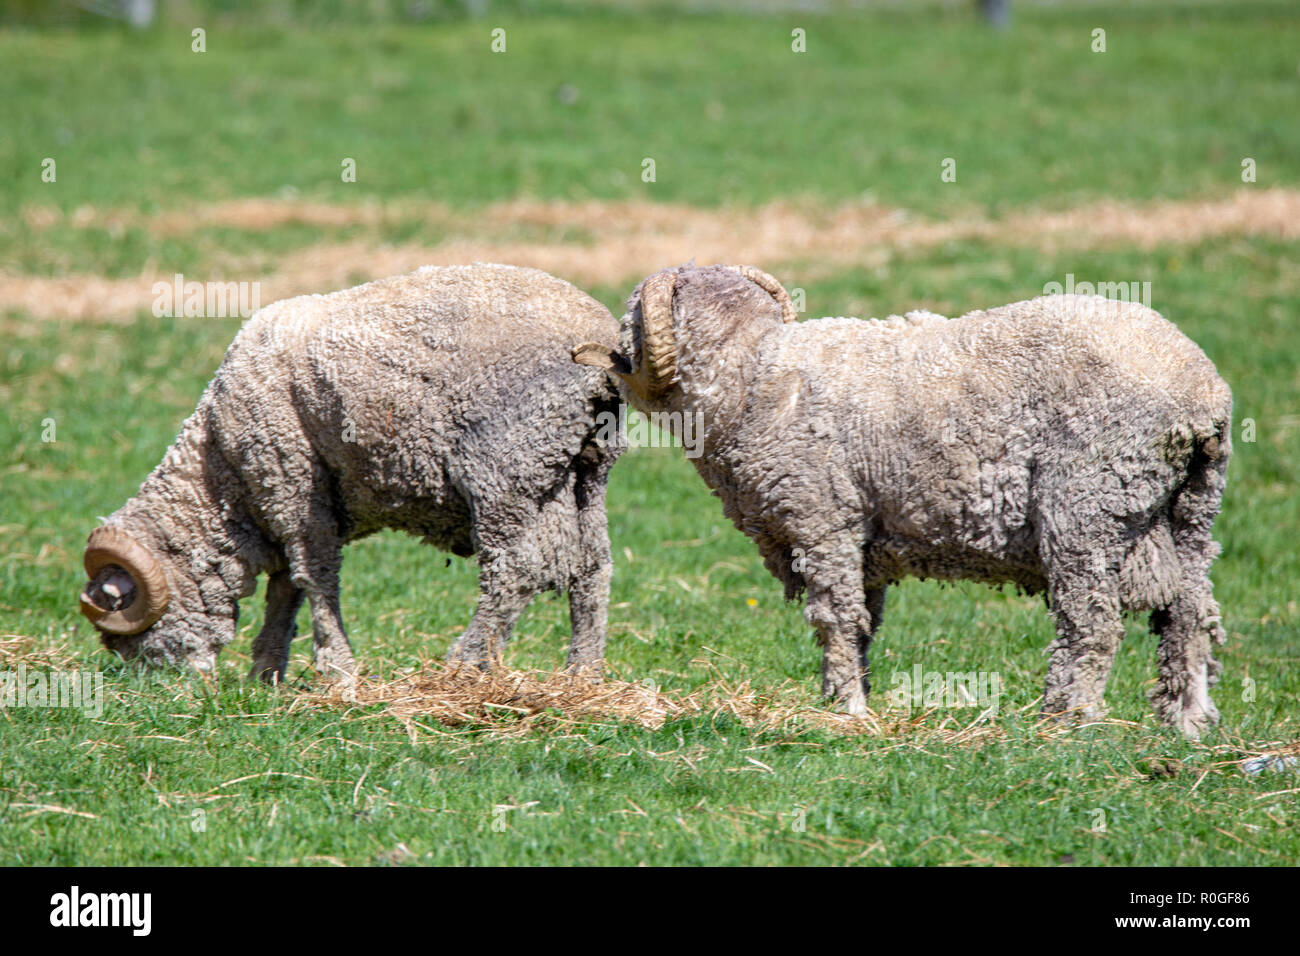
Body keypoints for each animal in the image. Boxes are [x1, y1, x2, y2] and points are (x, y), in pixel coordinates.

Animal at [79, 263, 626, 688]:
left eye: (123, 638)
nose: (168, 692)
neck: (220, 476)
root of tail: (600, 344)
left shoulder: (292, 484)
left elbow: (313, 577)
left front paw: (337, 672)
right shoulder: (288, 499)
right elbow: (286, 588)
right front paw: (265, 674)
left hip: (506, 469)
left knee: (516, 570)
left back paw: (460, 666)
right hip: (582, 470)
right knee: (592, 569)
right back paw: (583, 677)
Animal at [574, 264, 1232, 738]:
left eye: (632, 321)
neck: (749, 374)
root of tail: (1200, 393)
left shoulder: (823, 522)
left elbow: (836, 620)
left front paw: (847, 710)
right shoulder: (865, 544)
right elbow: (864, 624)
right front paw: (846, 697)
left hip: (1086, 506)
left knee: (1091, 622)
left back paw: (1064, 720)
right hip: (1189, 512)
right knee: (1190, 614)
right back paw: (1186, 722)